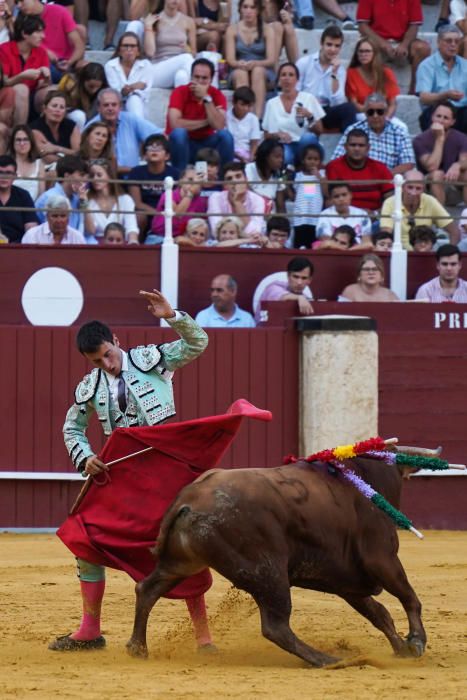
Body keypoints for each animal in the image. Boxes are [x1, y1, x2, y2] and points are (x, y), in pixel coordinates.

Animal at [126, 454, 430, 668]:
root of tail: (188, 500)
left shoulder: (349, 584)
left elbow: (380, 613)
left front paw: (402, 648)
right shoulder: (382, 559)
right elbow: (408, 597)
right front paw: (416, 641)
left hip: (181, 564)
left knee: (147, 589)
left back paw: (138, 648)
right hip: (269, 574)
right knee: (276, 627)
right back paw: (327, 660)